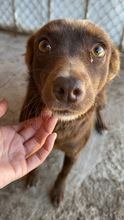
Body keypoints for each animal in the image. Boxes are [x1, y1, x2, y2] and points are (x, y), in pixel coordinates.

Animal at [19, 18, 119, 206]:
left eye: (99, 50)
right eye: (44, 45)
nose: (68, 88)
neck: (60, 126)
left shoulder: (74, 153)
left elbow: (64, 173)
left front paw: (58, 190)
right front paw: (32, 176)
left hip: (102, 100)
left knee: (99, 110)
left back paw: (102, 125)